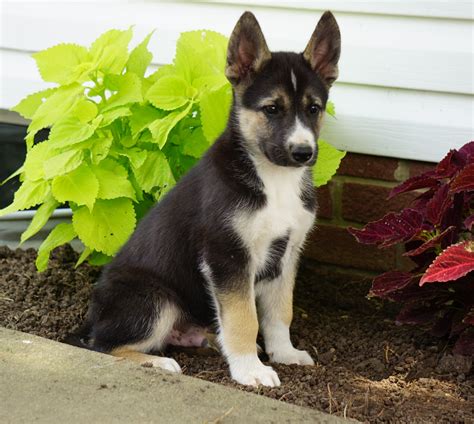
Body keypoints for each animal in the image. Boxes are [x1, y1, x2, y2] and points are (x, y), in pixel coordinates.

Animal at [81, 10, 340, 388]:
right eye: (272, 109)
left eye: (313, 108)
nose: (303, 152)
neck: (272, 179)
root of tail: (91, 319)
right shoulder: (226, 256)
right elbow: (244, 317)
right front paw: (250, 370)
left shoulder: (287, 254)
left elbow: (279, 312)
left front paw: (284, 353)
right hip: (155, 299)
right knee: (102, 346)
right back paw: (158, 362)